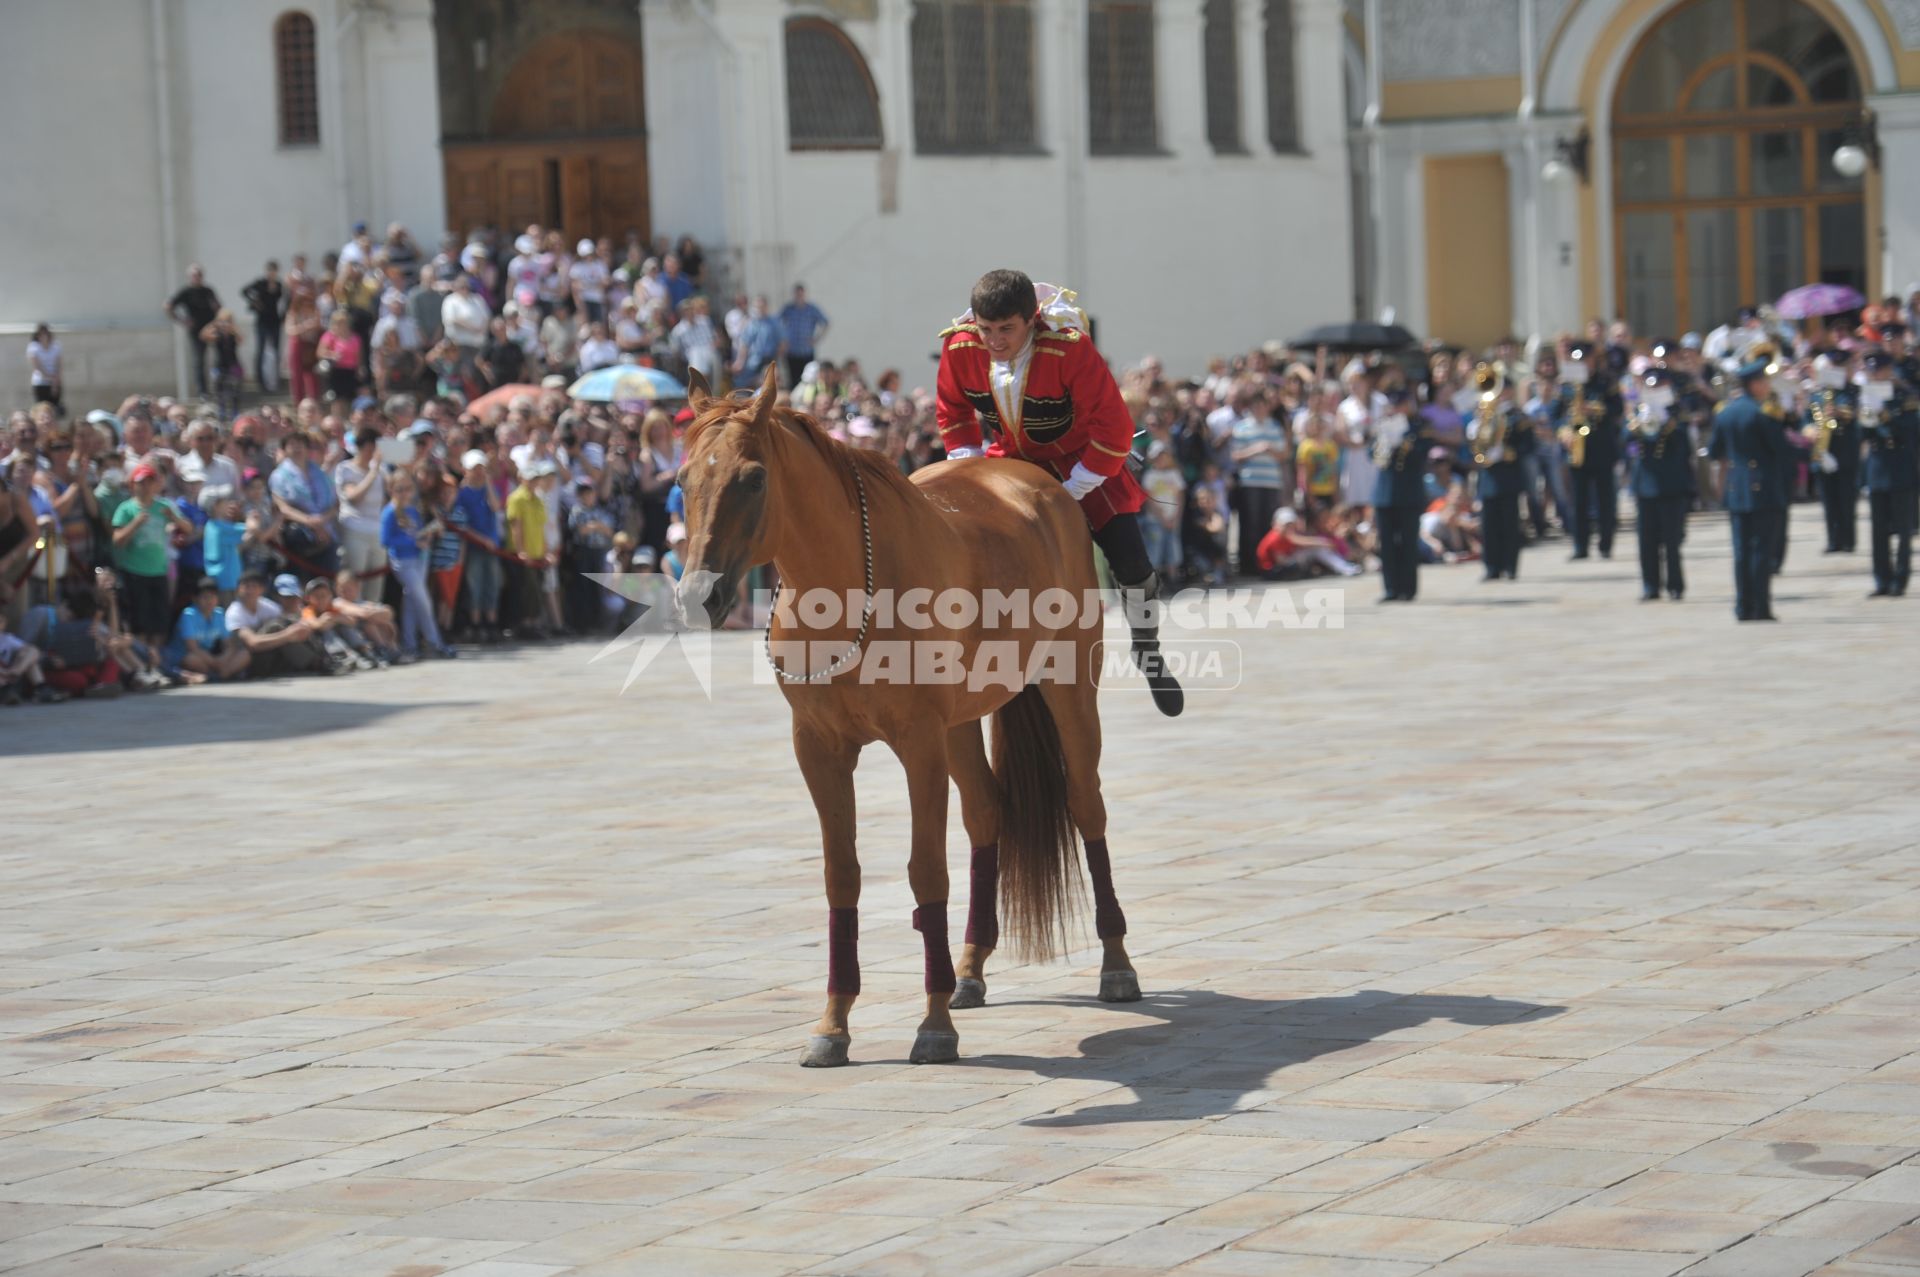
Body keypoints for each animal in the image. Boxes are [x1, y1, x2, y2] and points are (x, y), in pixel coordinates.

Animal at [675, 368, 1136, 1067]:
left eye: (753, 479)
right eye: (681, 480)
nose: (698, 596)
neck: (845, 591)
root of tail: (1034, 479)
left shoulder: (918, 743)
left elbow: (926, 871)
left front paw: (934, 1023)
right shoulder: (819, 748)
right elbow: (842, 875)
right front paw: (833, 1024)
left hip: (1068, 691)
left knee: (1087, 806)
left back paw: (1116, 964)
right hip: (962, 724)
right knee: (987, 812)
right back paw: (970, 968)